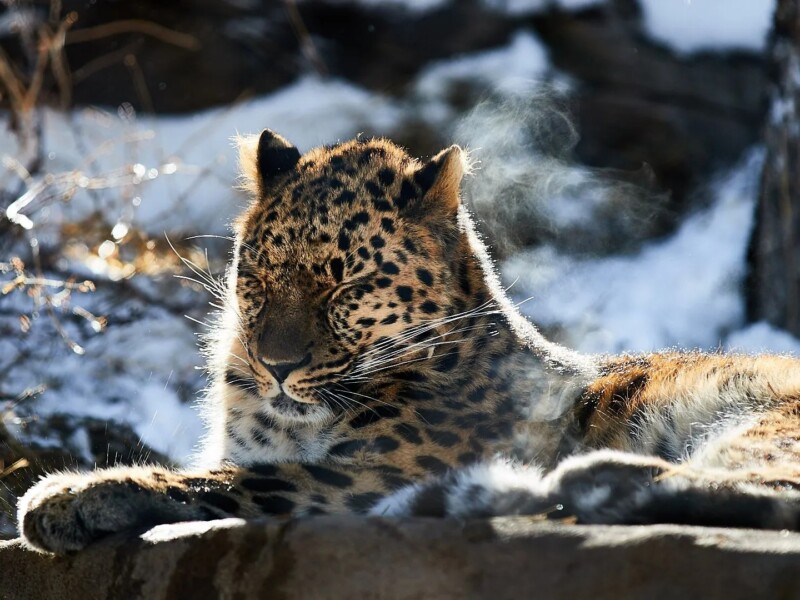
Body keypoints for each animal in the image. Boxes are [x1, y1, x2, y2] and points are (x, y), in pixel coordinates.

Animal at [18, 129, 800, 554]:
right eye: (261, 275)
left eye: (345, 285)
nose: (275, 365)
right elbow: (222, 469)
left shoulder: (369, 470)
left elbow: (229, 480)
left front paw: (66, 497)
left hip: (764, 423)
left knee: (762, 493)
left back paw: (552, 479)